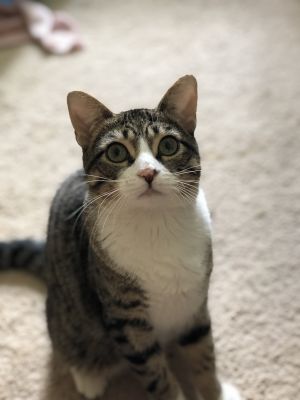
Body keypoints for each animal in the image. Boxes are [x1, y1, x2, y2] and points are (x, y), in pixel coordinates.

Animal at [0, 76, 239, 400]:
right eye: (116, 152)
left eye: (168, 145)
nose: (148, 172)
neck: (156, 225)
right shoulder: (127, 321)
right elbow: (157, 375)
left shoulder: (195, 304)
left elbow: (204, 358)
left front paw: (216, 391)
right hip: (68, 315)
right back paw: (89, 375)